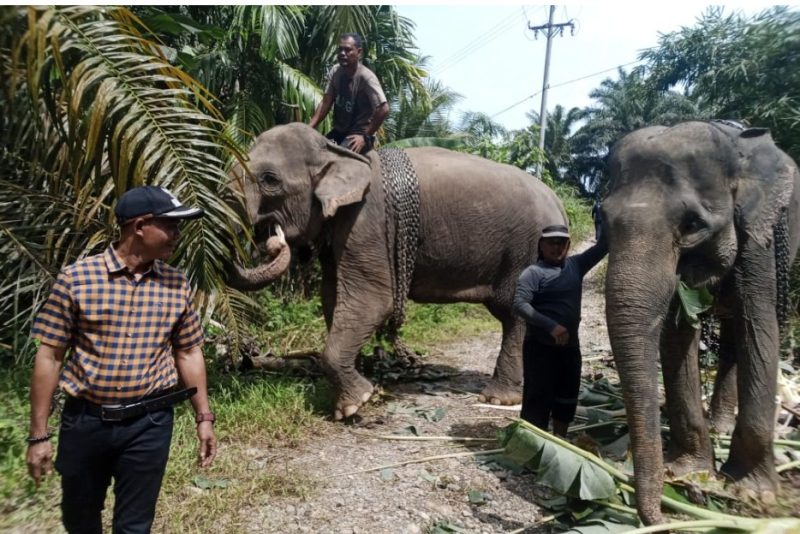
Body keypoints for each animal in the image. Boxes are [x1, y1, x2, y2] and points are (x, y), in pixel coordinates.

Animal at [225, 122, 564, 422]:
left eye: (270, 179)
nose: (270, 239)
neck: (337, 152)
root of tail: (558, 201)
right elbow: (332, 298)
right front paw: (359, 387)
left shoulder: (367, 223)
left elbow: (373, 300)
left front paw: (355, 404)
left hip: (525, 249)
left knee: (514, 314)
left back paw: (498, 398)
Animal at [604, 121, 796, 528]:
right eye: (601, 219)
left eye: (693, 225)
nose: (660, 517)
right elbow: (677, 335)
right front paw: (688, 473)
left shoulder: (758, 236)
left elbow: (759, 325)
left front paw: (752, 493)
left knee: (738, 331)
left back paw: (721, 427)